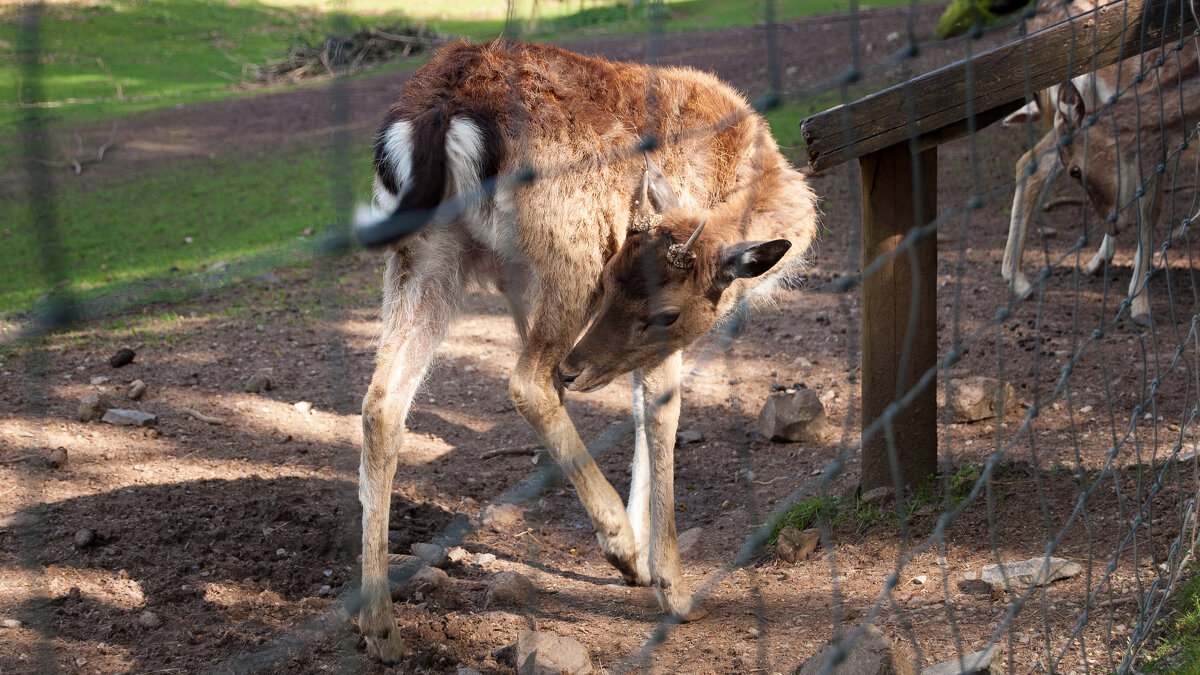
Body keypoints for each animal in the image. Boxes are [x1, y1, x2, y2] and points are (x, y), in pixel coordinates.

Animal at [350, 38, 820, 662]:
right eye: (663, 311)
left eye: (631, 277)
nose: (579, 370)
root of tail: (439, 112)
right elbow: (662, 409)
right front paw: (667, 581)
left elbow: (636, 406)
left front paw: (643, 559)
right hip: (566, 256)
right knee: (527, 382)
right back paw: (619, 540)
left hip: (426, 256)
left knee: (383, 403)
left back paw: (379, 626)